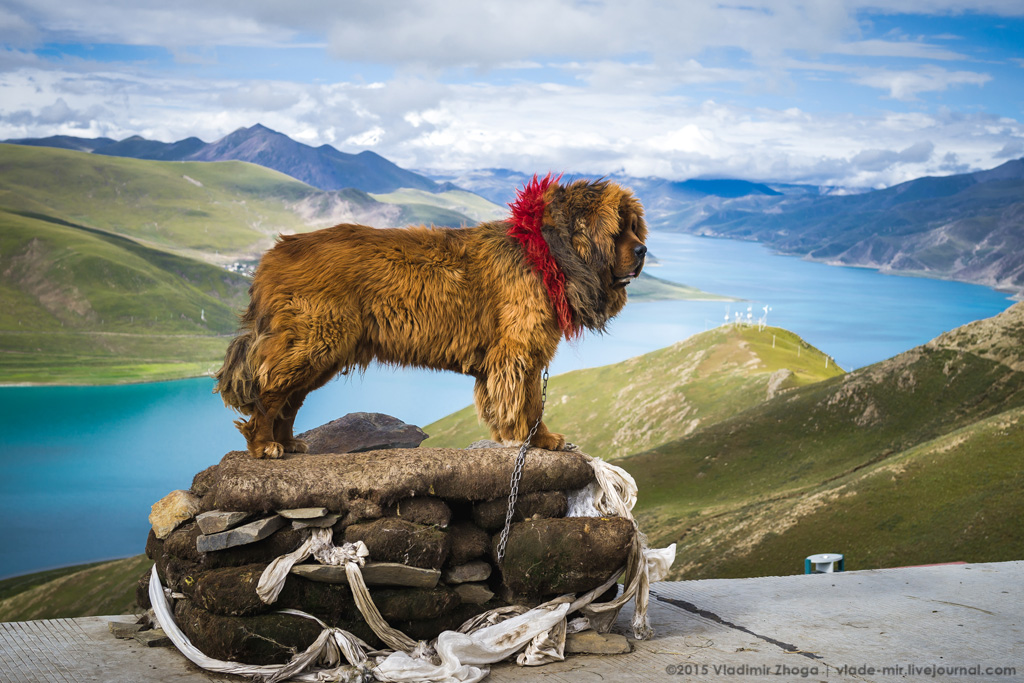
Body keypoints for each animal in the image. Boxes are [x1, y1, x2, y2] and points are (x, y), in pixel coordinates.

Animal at [216, 176, 647, 458]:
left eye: (633, 227)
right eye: (618, 230)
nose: (644, 251)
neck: (545, 252)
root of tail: (272, 256)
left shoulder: (517, 355)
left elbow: (520, 400)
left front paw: (531, 439)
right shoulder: (518, 350)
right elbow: (526, 401)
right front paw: (534, 439)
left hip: (322, 351)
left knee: (289, 398)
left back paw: (288, 442)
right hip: (315, 341)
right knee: (269, 392)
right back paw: (263, 444)